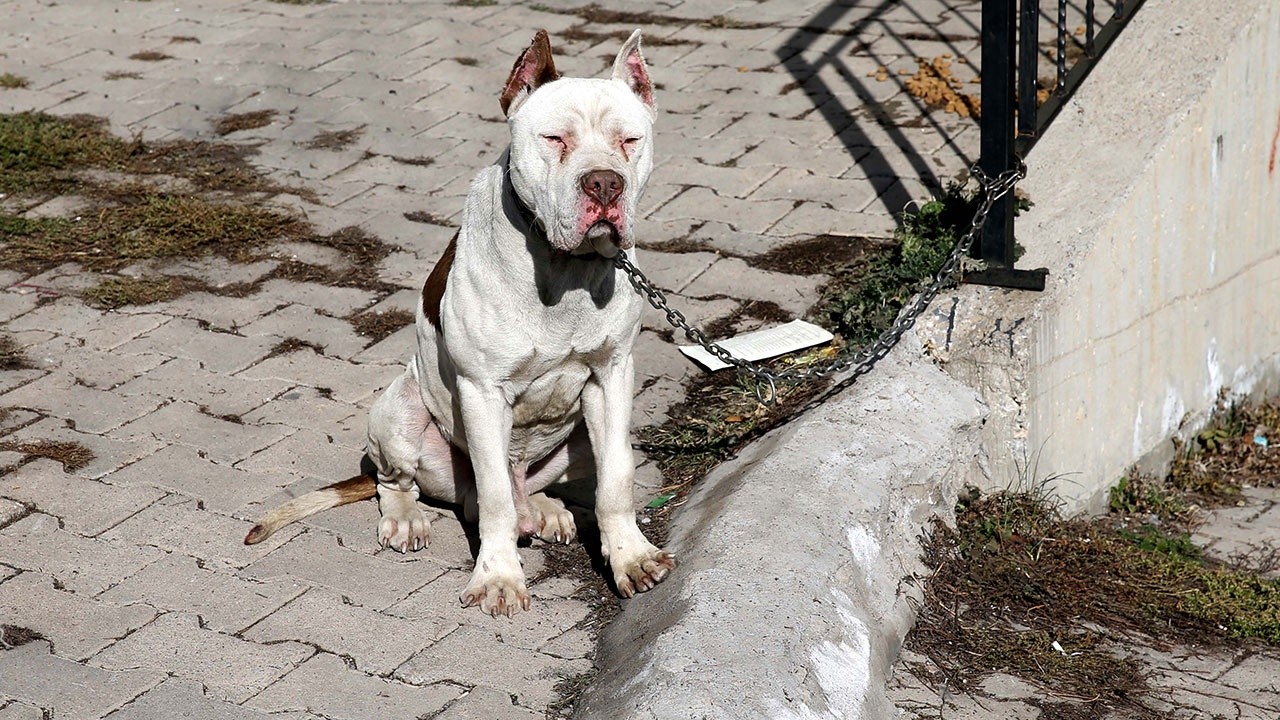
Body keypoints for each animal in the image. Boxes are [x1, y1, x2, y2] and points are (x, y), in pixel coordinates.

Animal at [243, 30, 675, 614]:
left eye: (630, 140)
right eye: (554, 138)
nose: (605, 184)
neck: (563, 267)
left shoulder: (611, 377)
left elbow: (617, 478)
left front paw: (631, 557)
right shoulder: (482, 390)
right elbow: (493, 497)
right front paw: (498, 578)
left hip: (577, 438)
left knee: (530, 485)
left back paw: (545, 508)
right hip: (399, 411)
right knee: (405, 484)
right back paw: (408, 519)